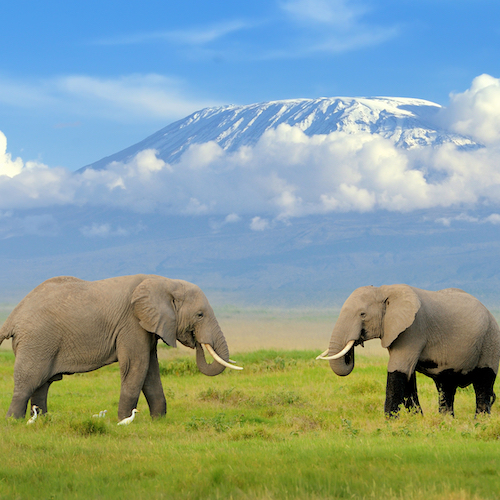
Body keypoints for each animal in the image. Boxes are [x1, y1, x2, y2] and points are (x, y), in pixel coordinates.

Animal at [0, 276, 242, 420]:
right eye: (200, 315)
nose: (196, 340)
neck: (164, 282)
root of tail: (13, 316)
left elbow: (151, 370)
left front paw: (158, 421)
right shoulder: (131, 324)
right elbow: (136, 366)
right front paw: (124, 421)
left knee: (43, 383)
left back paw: (43, 420)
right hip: (37, 341)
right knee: (29, 380)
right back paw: (15, 421)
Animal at [318, 286, 500, 418]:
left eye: (362, 314)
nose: (356, 342)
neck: (384, 290)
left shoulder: (413, 329)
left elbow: (398, 370)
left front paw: (390, 422)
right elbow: (407, 376)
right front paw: (417, 420)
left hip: (490, 340)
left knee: (483, 383)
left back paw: (480, 422)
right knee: (446, 386)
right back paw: (446, 421)